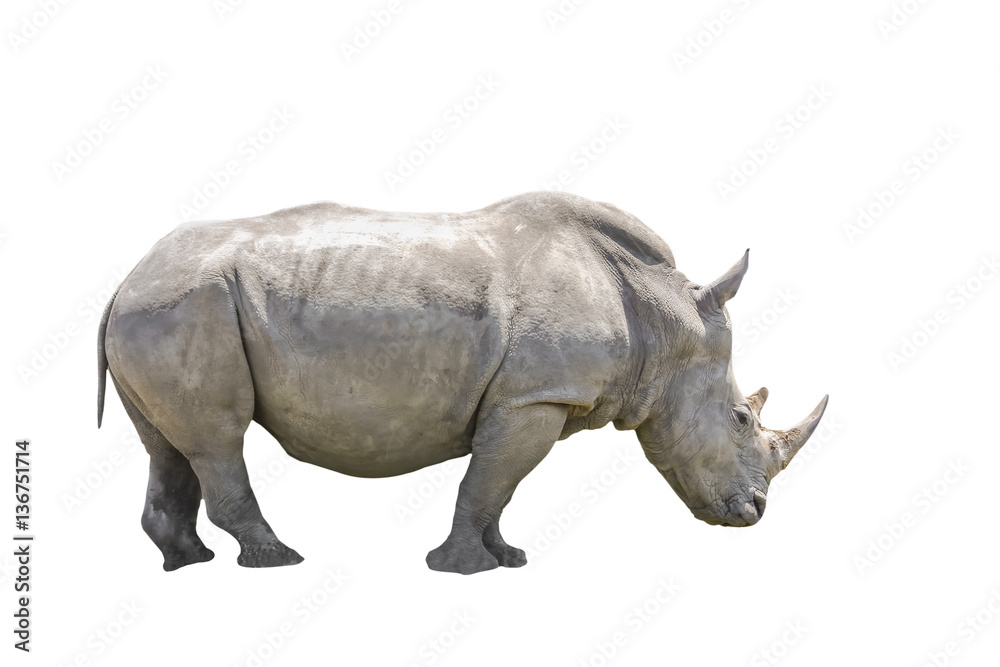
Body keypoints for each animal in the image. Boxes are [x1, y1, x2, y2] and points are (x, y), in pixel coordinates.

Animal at [97, 191, 827, 575]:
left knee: (168, 444)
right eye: (740, 418)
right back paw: (277, 558)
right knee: (218, 439)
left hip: (165, 309)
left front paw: (508, 558)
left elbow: (500, 487)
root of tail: (124, 277)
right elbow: (487, 481)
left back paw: (188, 562)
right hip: (185, 304)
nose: (755, 514)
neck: (662, 323)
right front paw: (462, 568)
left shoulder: (531, 399)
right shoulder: (537, 394)